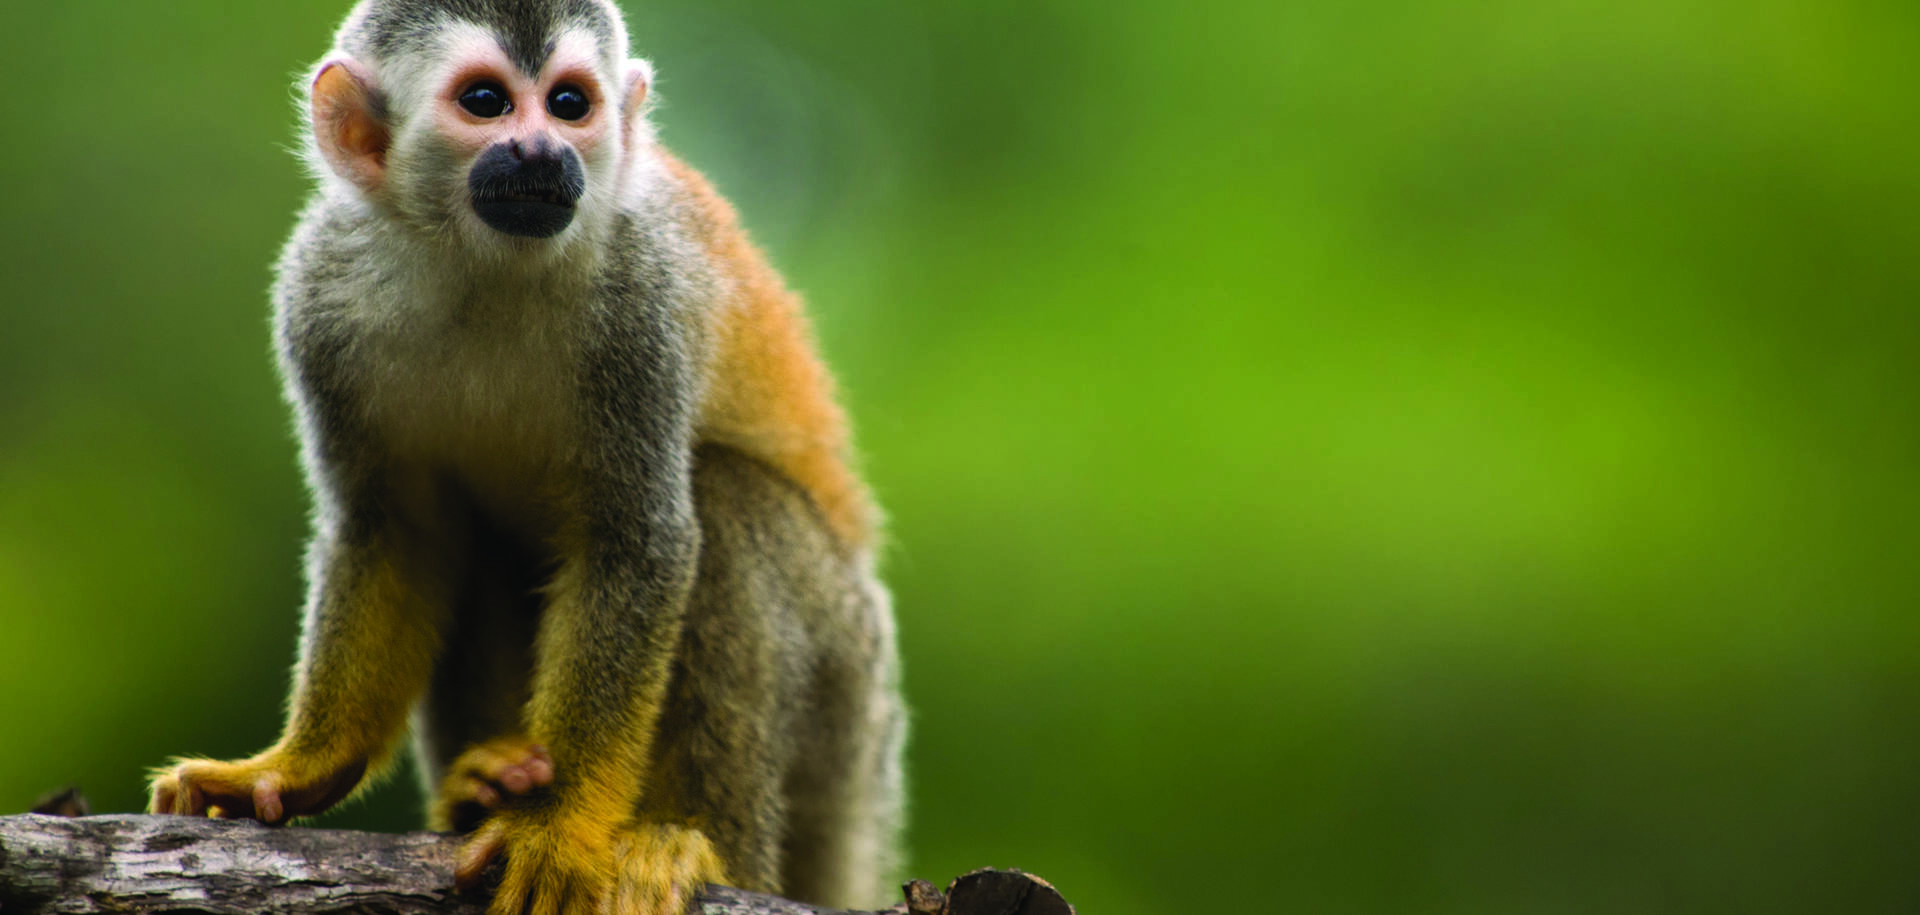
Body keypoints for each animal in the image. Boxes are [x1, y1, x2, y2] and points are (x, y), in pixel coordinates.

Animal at [143, 2, 905, 913]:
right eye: (486, 101)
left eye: (570, 103)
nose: (544, 151)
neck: (483, 261)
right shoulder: (315, 293)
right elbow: (391, 530)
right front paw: (299, 768)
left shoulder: (641, 296)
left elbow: (634, 539)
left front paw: (560, 820)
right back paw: (480, 789)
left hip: (849, 701)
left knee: (725, 501)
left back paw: (696, 844)